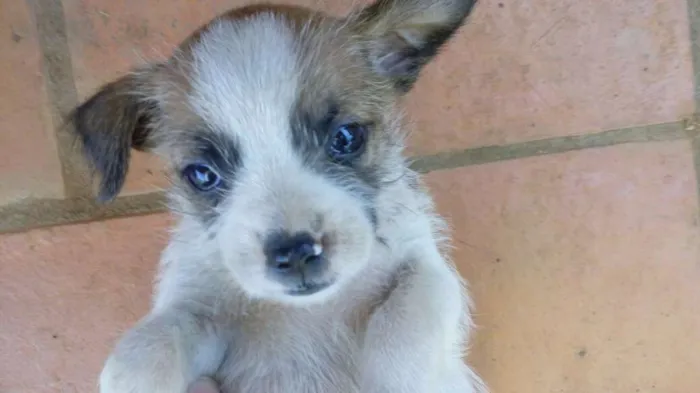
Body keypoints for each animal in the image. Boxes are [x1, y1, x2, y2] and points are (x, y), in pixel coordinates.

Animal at [69, 0, 486, 392]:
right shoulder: (195, 307)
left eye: (346, 137)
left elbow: (405, 325)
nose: (296, 253)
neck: (311, 309)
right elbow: (146, 346)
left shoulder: (424, 266)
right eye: (202, 175)